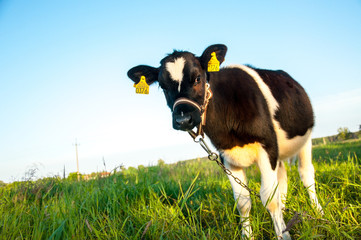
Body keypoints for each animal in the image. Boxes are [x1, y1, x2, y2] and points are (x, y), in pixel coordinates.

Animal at [126, 44, 320, 239]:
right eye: (163, 87)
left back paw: (317, 211)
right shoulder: (226, 156)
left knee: (306, 174)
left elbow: (270, 199)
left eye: (197, 78)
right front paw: (248, 235)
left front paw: (283, 234)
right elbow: (243, 202)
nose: (183, 120)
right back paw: (286, 210)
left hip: (305, 139)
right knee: (282, 178)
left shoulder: (267, 145)